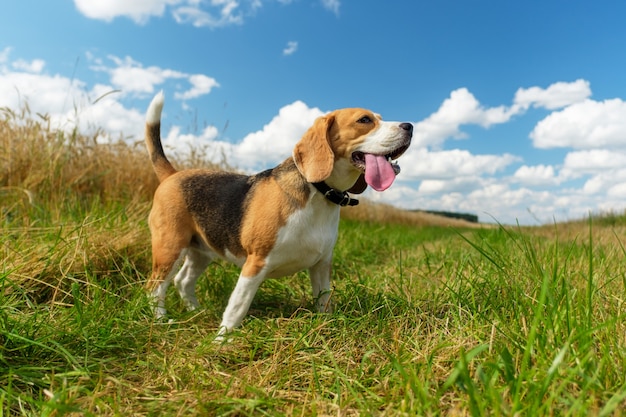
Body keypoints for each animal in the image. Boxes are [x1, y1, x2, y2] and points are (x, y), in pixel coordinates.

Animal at [144, 92, 412, 336]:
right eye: (365, 120)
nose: (409, 126)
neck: (318, 194)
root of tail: (172, 174)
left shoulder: (321, 264)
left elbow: (323, 301)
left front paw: (326, 327)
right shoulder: (255, 264)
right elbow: (237, 307)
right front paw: (221, 340)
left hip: (201, 251)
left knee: (183, 281)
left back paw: (196, 311)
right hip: (169, 247)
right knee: (154, 288)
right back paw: (161, 321)